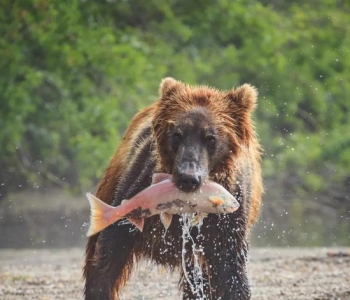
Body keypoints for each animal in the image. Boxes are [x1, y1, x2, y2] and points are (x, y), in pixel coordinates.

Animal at [82, 78, 262, 300]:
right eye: (177, 134)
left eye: (211, 138)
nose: (188, 178)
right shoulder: (139, 182)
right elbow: (111, 249)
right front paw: (100, 287)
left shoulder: (228, 218)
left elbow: (231, 268)